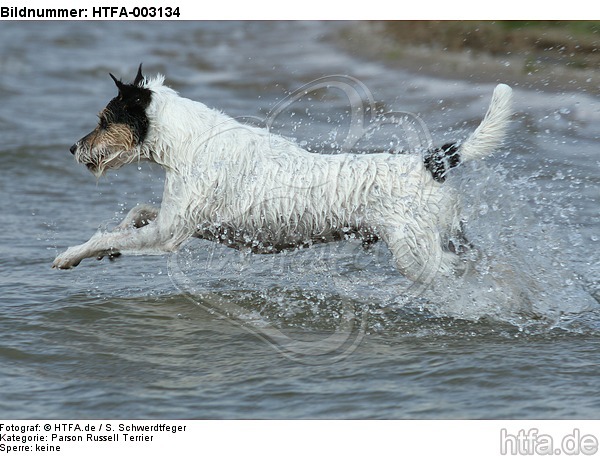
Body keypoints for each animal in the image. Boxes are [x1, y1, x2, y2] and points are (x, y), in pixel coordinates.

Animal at [52, 65, 510, 284]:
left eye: (103, 120)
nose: (72, 148)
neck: (189, 142)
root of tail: (430, 163)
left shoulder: (168, 234)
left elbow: (105, 235)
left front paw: (73, 254)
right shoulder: (177, 220)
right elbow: (134, 214)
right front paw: (111, 246)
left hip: (416, 255)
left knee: (460, 270)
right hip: (446, 237)